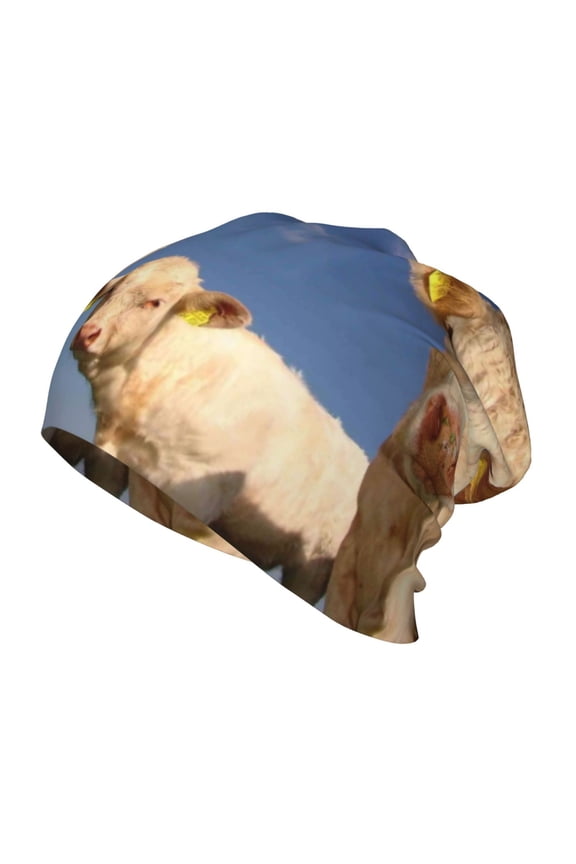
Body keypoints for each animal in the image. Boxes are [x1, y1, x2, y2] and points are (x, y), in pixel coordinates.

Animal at [71, 256, 369, 605]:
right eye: (112, 289)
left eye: (154, 302)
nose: (86, 335)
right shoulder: (111, 455)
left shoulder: (195, 494)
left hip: (314, 565)